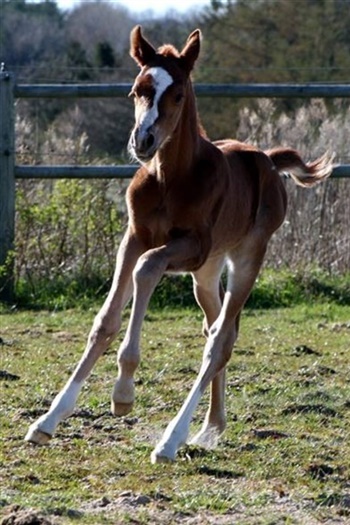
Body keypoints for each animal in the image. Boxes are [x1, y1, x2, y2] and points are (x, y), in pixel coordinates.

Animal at [25, 26, 334, 460]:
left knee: (220, 341)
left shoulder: (190, 246)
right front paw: (47, 421)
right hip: (205, 274)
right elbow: (105, 319)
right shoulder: (135, 237)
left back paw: (172, 440)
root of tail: (269, 161)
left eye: (178, 95)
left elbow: (147, 269)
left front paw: (123, 392)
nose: (144, 140)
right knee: (217, 326)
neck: (170, 178)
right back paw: (210, 427)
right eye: (137, 90)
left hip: (246, 256)